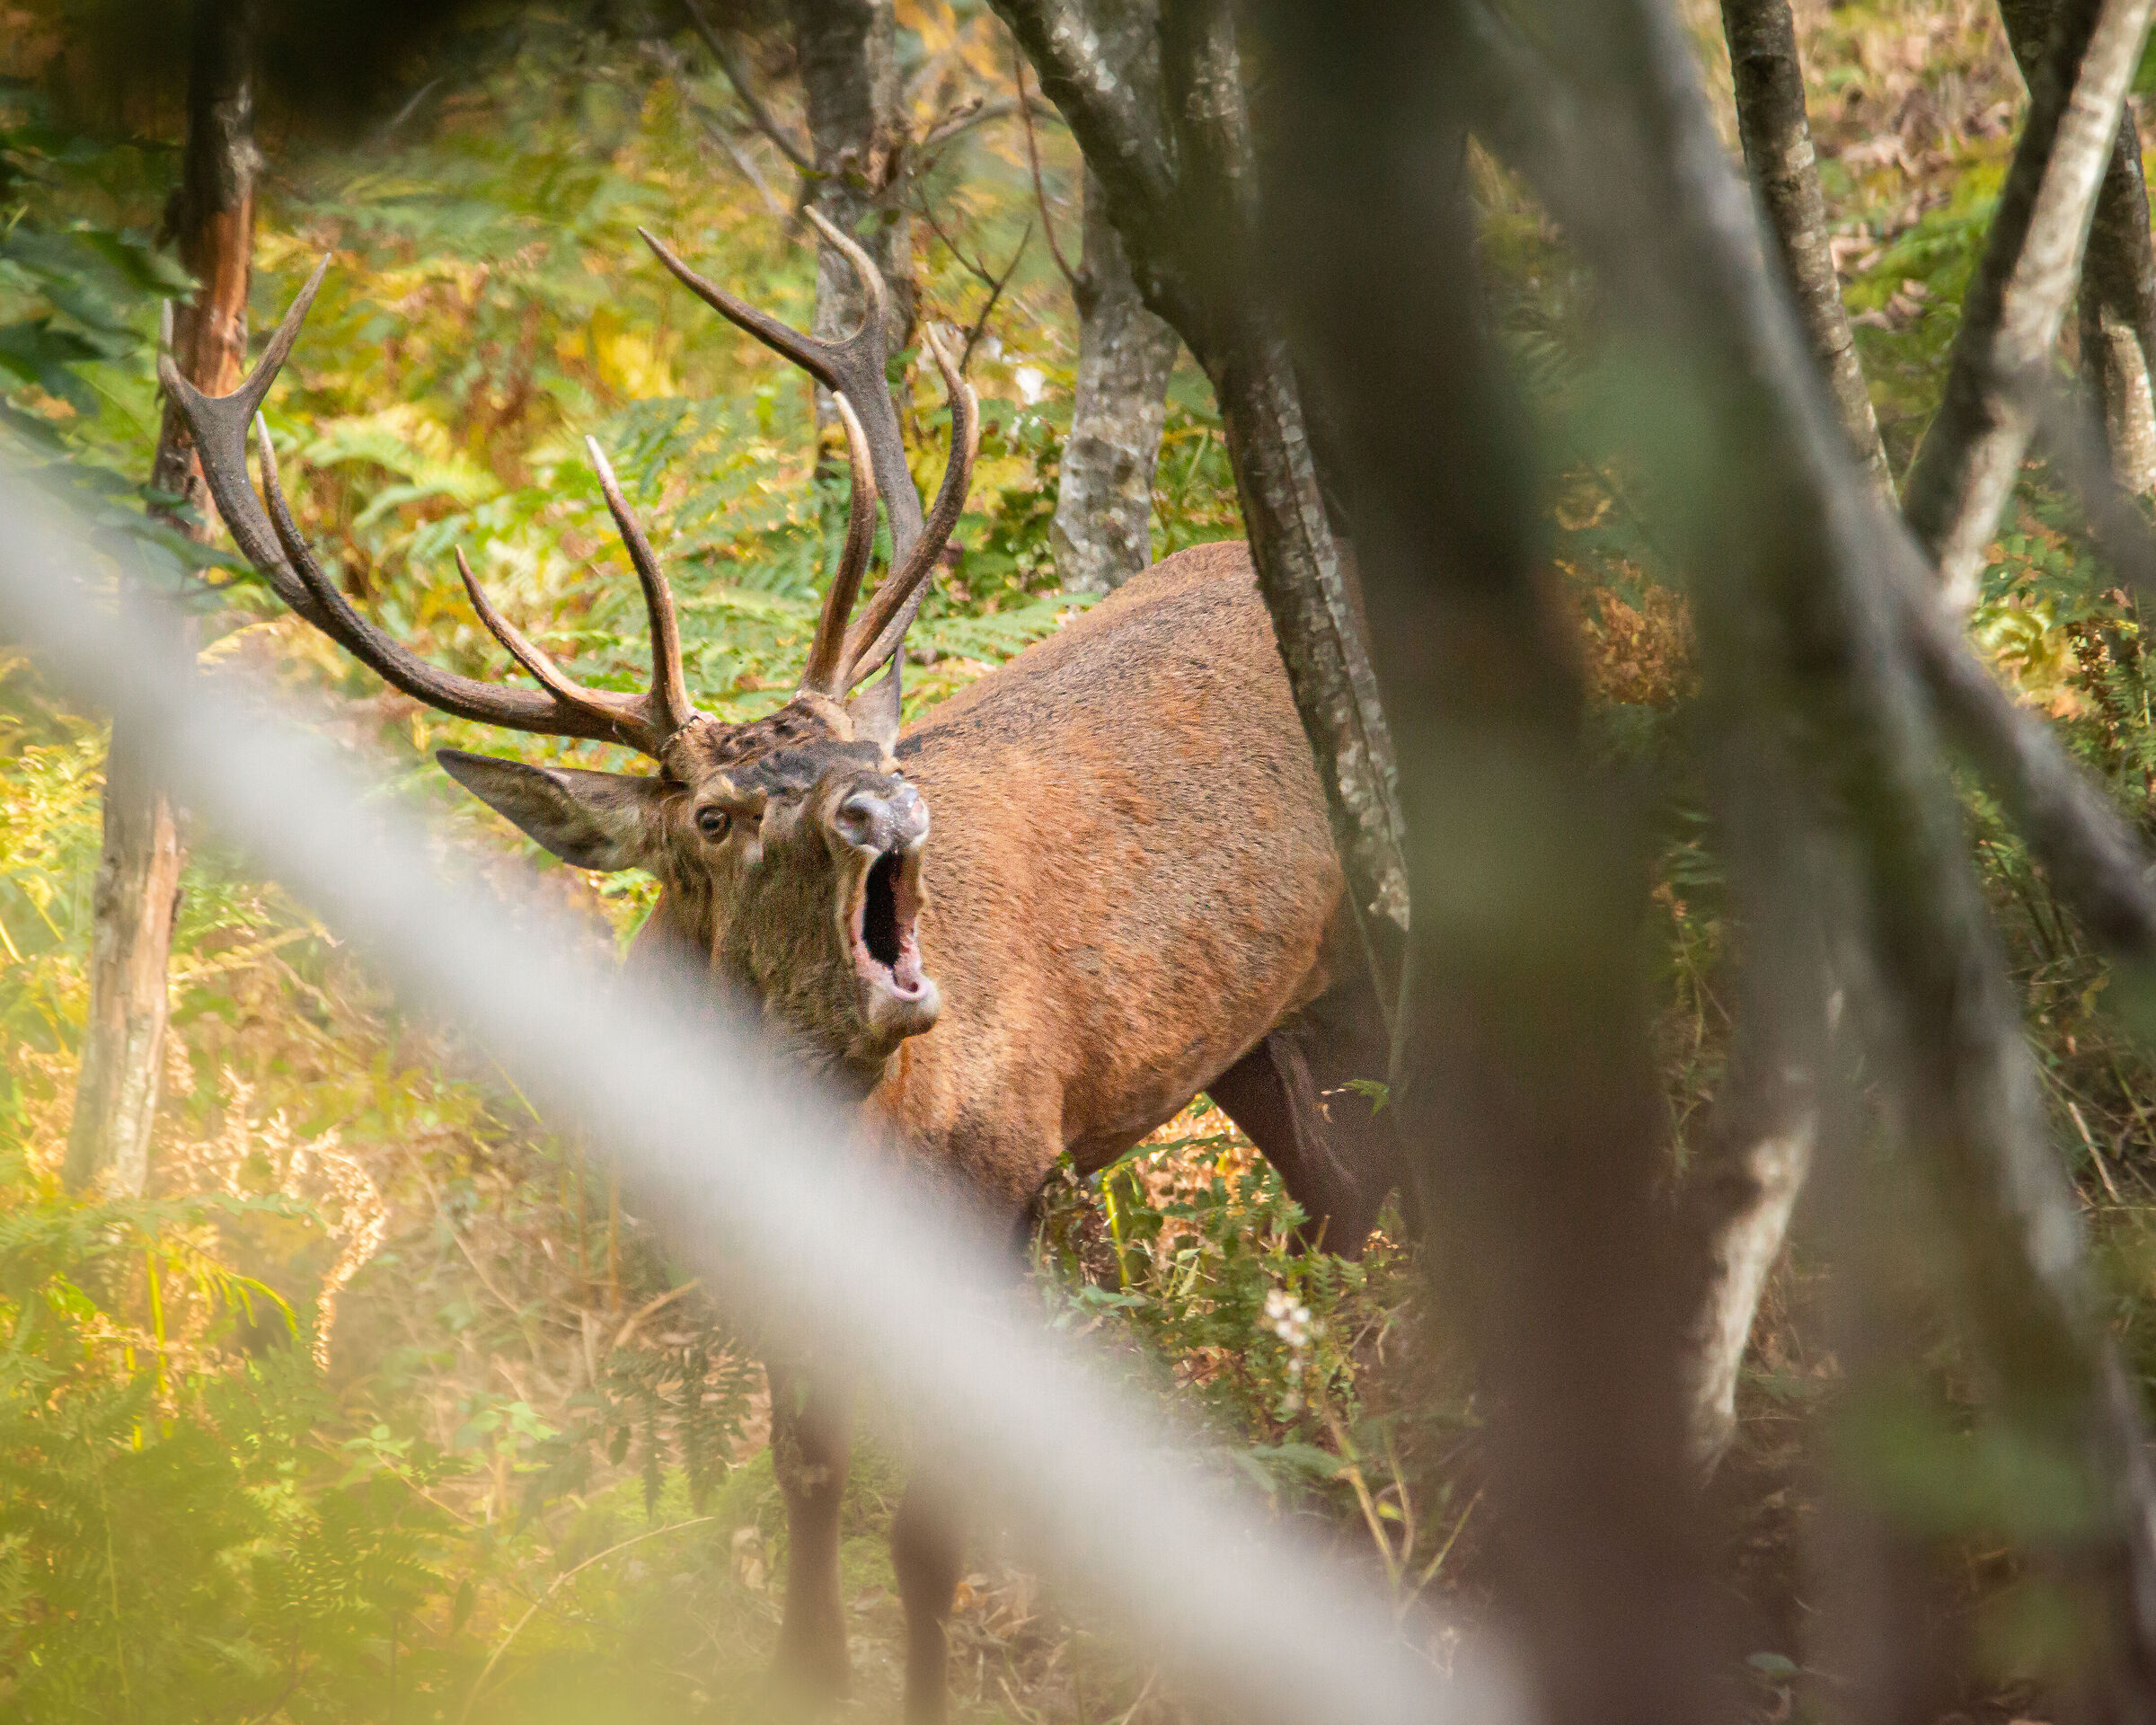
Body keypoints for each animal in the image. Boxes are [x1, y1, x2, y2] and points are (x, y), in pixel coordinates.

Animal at [162, 212, 1405, 1723]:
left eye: (868, 750)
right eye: (714, 816)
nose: (883, 805)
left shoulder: (1000, 1180)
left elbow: (928, 1528)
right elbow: (805, 1474)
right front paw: (806, 1668)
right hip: (1267, 1035)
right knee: (1346, 1196)